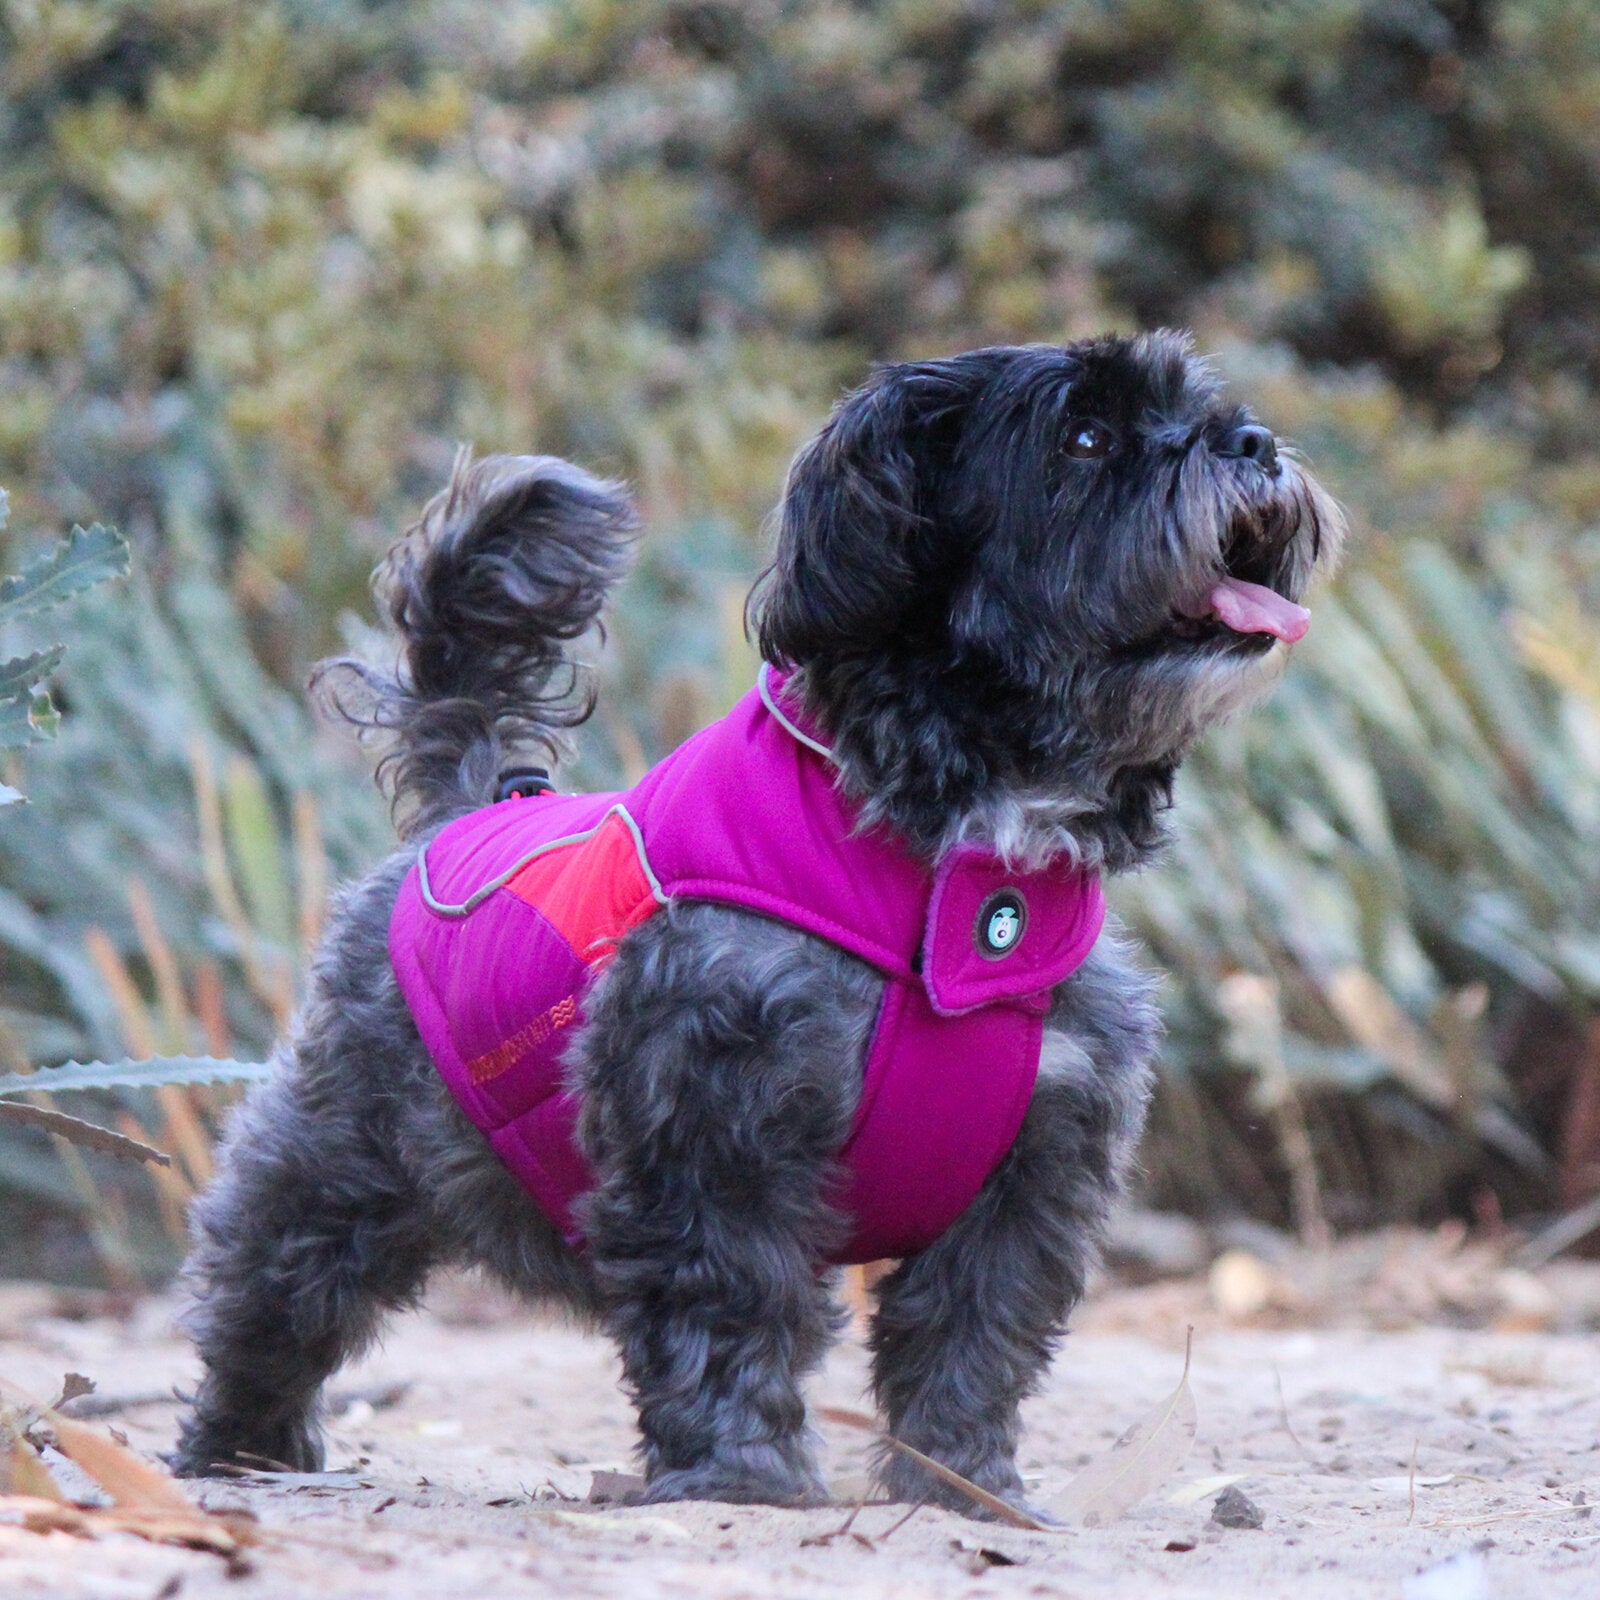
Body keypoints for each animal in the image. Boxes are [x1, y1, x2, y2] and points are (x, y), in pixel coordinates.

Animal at [168, 328, 1344, 1510]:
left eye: (1203, 405)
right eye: (1086, 437)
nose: (1251, 440)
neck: (948, 854)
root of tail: (474, 807)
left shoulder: (1034, 1162)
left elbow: (973, 1334)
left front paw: (963, 1483)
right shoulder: (710, 1120)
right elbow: (726, 1305)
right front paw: (742, 1474)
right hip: (339, 1157)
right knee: (270, 1290)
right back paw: (237, 1446)